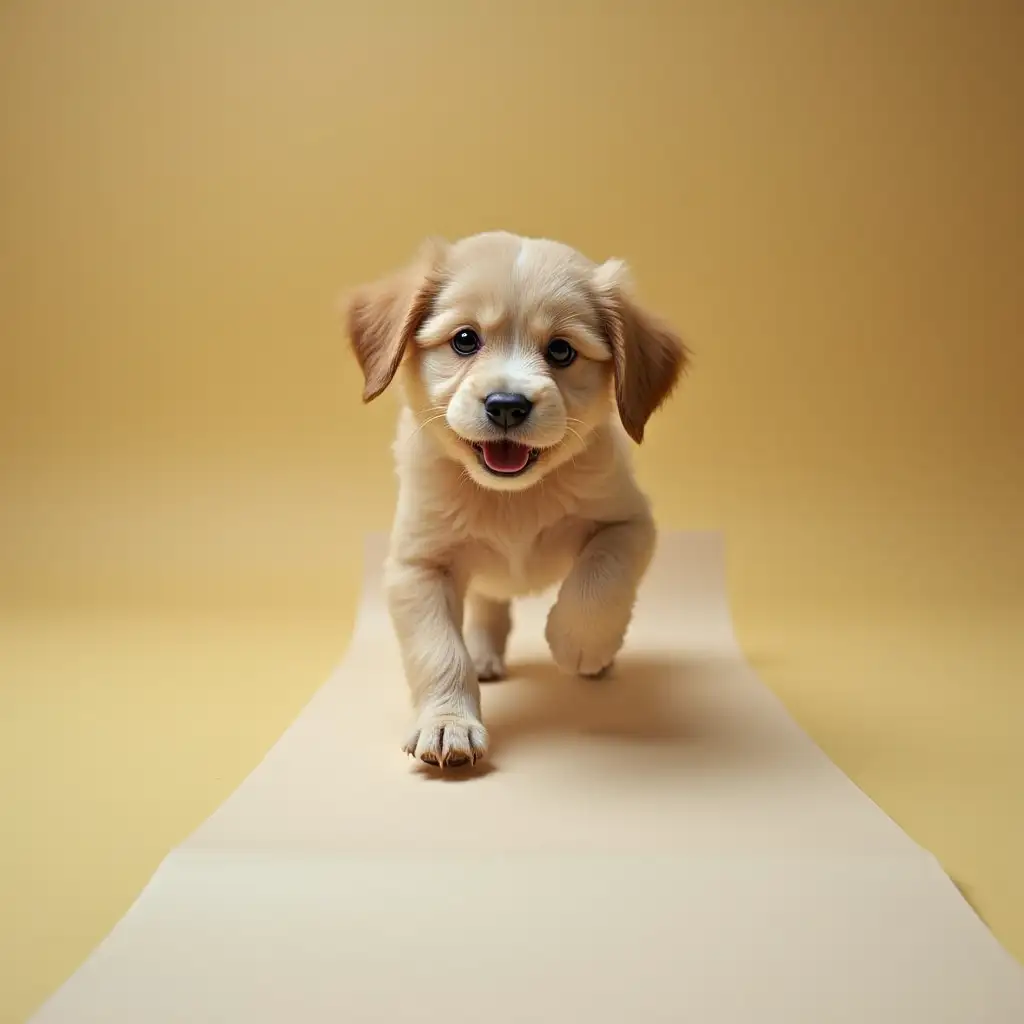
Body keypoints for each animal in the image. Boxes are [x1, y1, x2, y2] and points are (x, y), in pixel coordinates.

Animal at [344, 232, 688, 770]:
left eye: (561, 350)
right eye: (465, 340)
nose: (507, 405)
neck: (510, 499)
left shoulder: (628, 524)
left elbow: (599, 581)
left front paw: (578, 643)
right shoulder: (418, 565)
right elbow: (439, 650)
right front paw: (448, 722)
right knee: (489, 603)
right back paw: (484, 656)